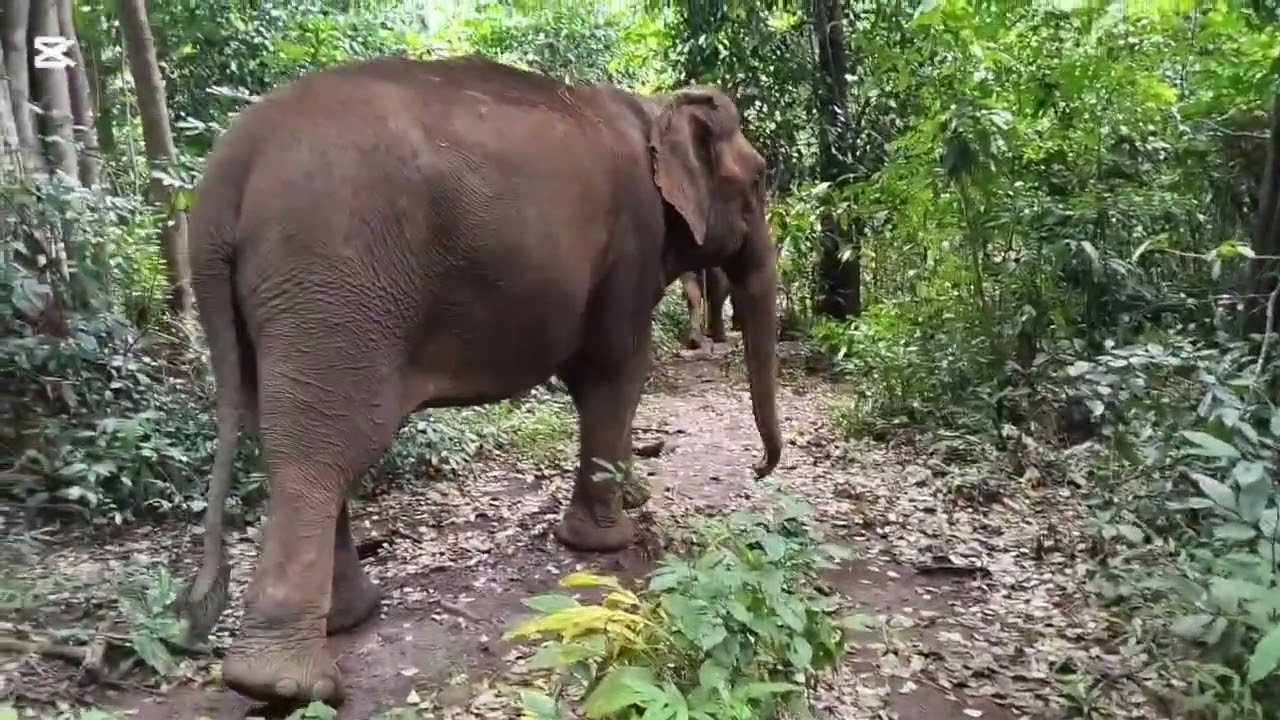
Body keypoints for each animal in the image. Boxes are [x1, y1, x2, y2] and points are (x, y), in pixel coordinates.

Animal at [173, 55, 782, 706]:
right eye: (760, 180)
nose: (758, 468)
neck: (653, 107)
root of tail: (224, 176)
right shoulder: (631, 240)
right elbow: (615, 370)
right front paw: (608, 540)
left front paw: (634, 496)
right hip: (330, 285)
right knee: (325, 452)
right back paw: (284, 683)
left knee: (284, 437)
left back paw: (348, 619)